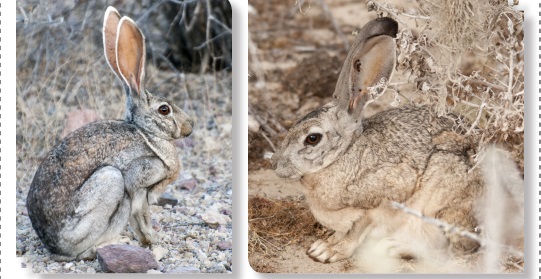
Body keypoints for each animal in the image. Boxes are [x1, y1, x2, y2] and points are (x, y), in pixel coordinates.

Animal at [26, 6, 194, 262]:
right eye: (164, 110)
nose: (190, 127)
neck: (147, 133)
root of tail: (53, 245)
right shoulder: (139, 180)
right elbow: (141, 215)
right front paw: (152, 241)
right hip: (109, 182)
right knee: (81, 252)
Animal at [272, 17, 520, 266]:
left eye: (312, 138)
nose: (274, 164)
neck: (344, 154)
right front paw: (323, 245)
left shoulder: (382, 198)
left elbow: (356, 230)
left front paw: (328, 252)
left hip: (445, 206)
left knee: (455, 248)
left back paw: (396, 247)